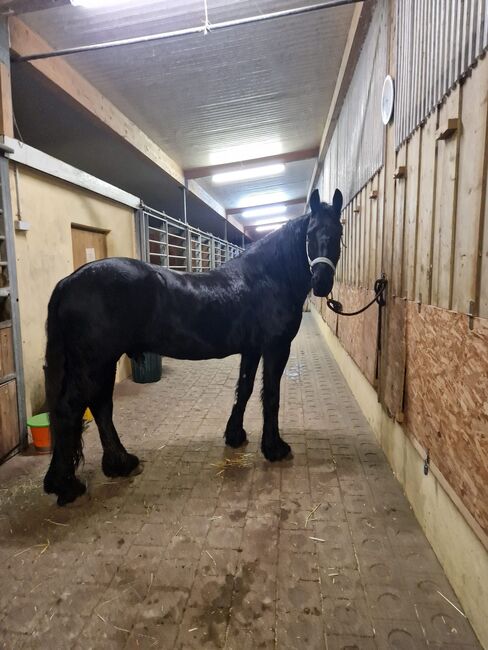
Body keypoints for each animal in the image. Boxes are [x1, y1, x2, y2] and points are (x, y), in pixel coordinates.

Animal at [44, 187, 344, 502]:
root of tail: (68, 282)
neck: (267, 277)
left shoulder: (251, 350)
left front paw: (235, 436)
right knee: (70, 409)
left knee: (100, 406)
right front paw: (274, 448)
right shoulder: (275, 348)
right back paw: (67, 485)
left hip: (103, 362)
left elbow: (245, 389)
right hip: (94, 362)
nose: (321, 282)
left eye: (338, 232)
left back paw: (119, 464)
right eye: (310, 234)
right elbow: (271, 396)